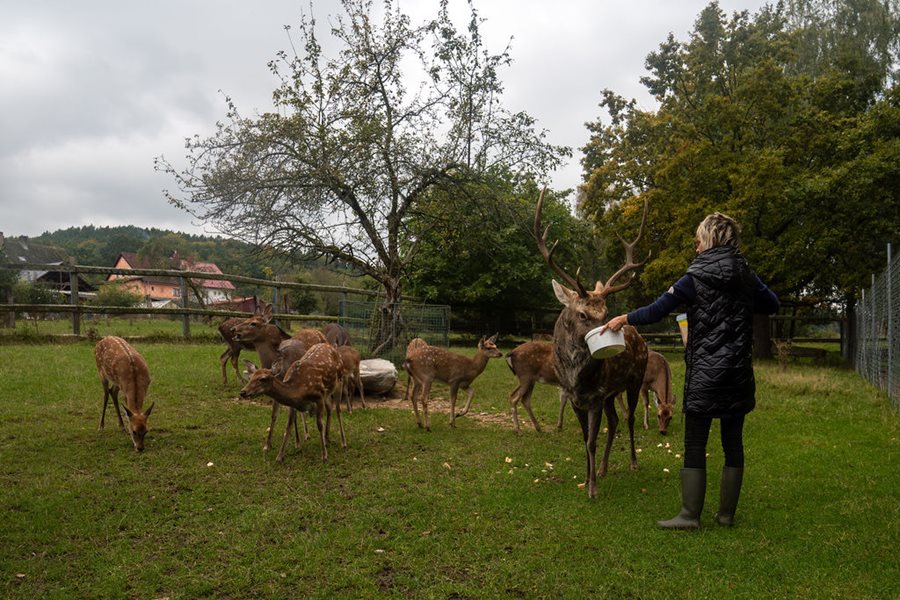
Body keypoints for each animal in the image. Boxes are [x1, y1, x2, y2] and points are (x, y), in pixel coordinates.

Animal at [536, 189, 648, 496]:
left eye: (606, 313)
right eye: (583, 314)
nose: (606, 330)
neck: (576, 379)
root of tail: (641, 338)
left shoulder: (596, 396)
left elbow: (591, 441)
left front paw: (593, 490)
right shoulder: (578, 398)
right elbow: (585, 438)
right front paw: (587, 478)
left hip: (635, 380)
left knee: (629, 419)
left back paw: (633, 462)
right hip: (611, 393)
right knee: (615, 421)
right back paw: (603, 468)